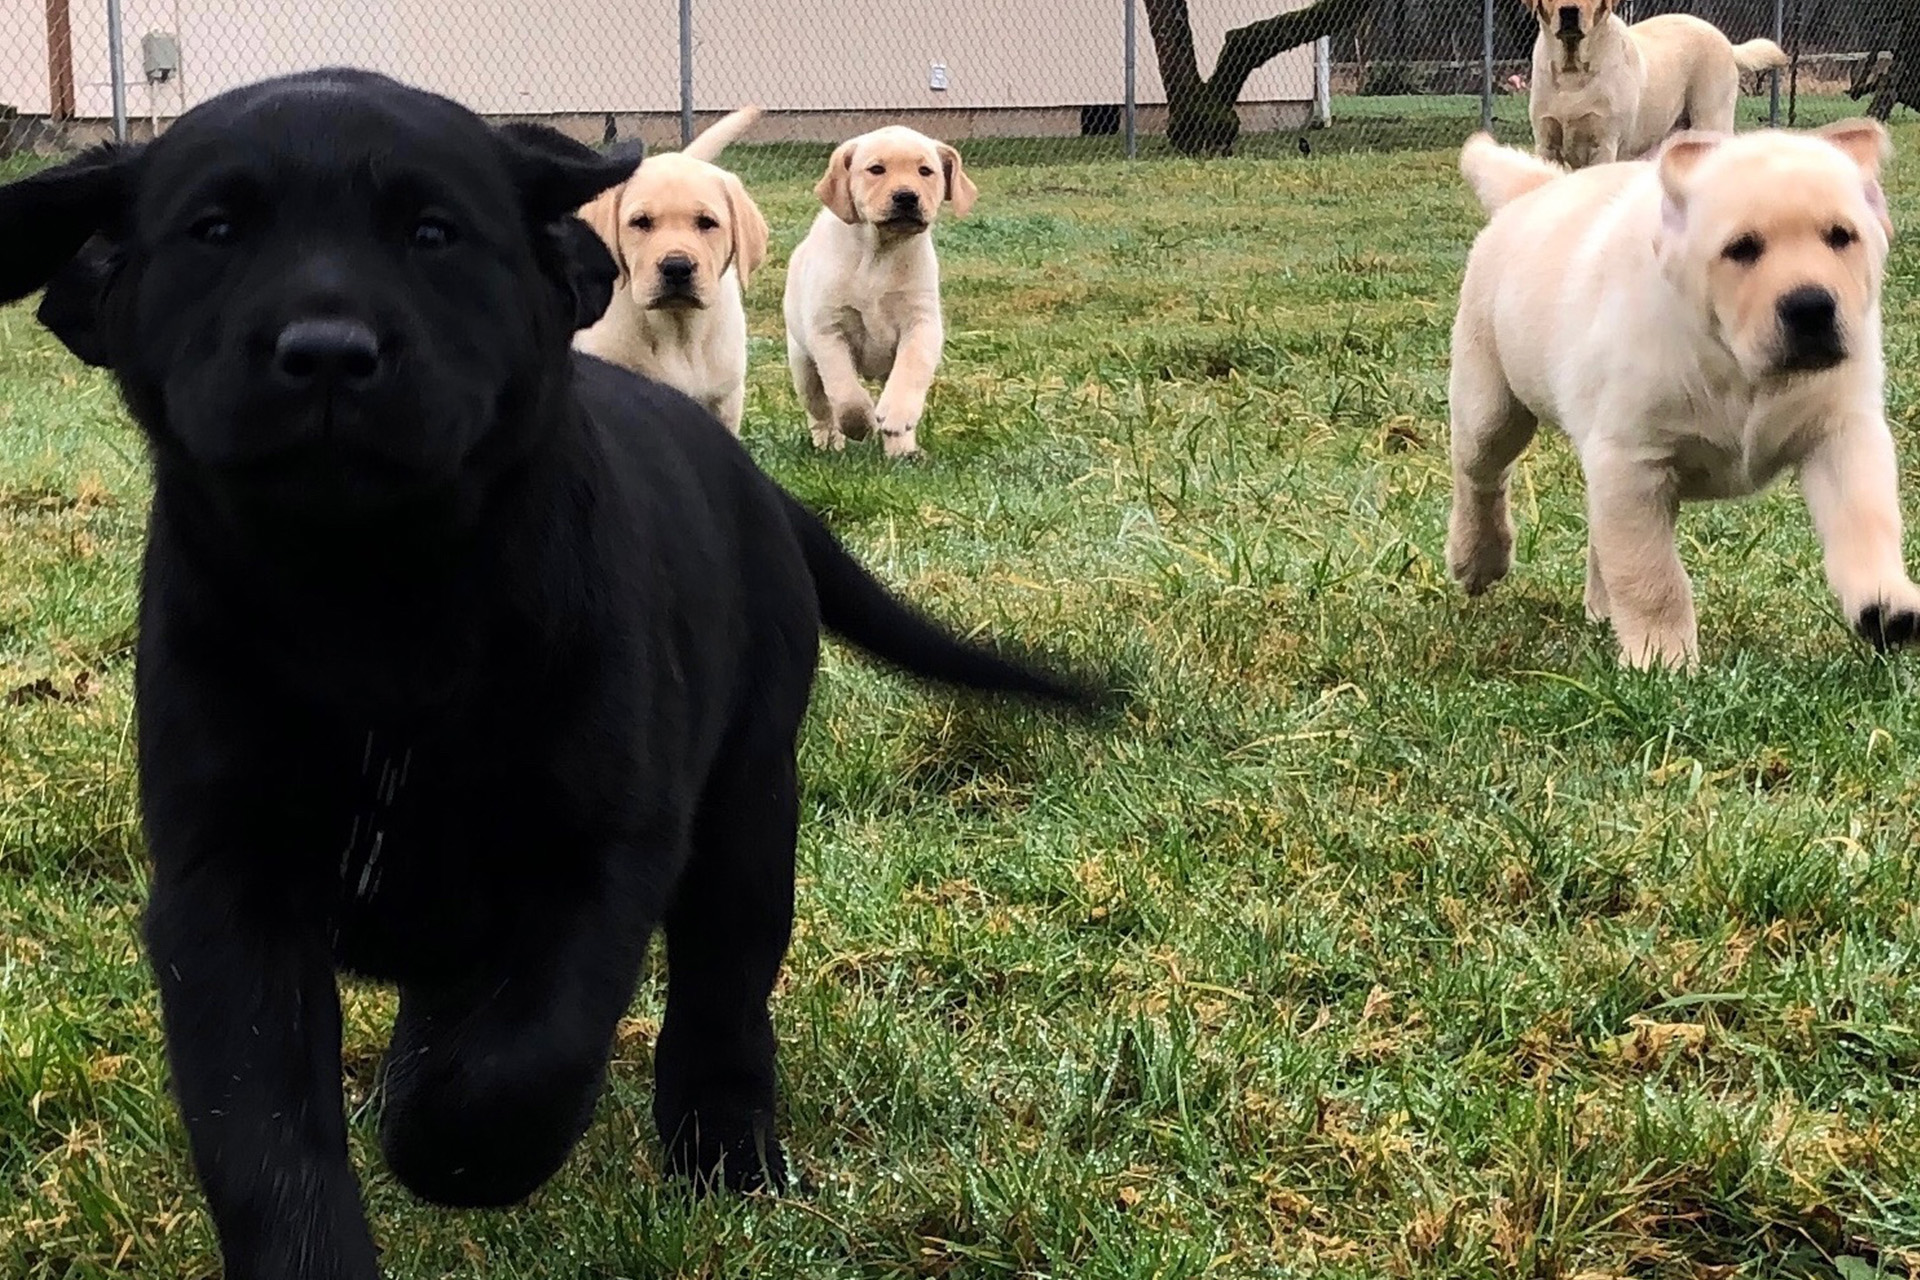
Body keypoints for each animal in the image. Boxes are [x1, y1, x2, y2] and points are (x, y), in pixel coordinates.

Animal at [779, 123, 975, 460]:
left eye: (926, 171)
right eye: (876, 170)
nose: (906, 197)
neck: (880, 253)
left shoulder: (921, 322)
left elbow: (911, 370)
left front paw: (896, 418)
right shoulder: (828, 330)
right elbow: (845, 392)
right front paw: (861, 423)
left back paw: (903, 450)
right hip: (803, 365)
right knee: (820, 410)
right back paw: (829, 443)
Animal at [1443, 119, 1912, 671]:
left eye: (1842, 236)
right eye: (1742, 248)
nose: (1811, 307)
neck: (1738, 367)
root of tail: (1535, 190)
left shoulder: (1841, 431)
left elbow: (1865, 518)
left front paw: (1884, 604)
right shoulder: (1633, 459)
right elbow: (1650, 574)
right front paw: (1660, 660)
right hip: (1490, 402)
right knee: (1481, 475)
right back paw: (1477, 558)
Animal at [1528, 0, 1781, 168]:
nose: (1569, 12)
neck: (1572, 71)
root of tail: (1726, 42)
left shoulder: (1604, 146)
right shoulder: (1546, 146)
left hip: (1711, 124)